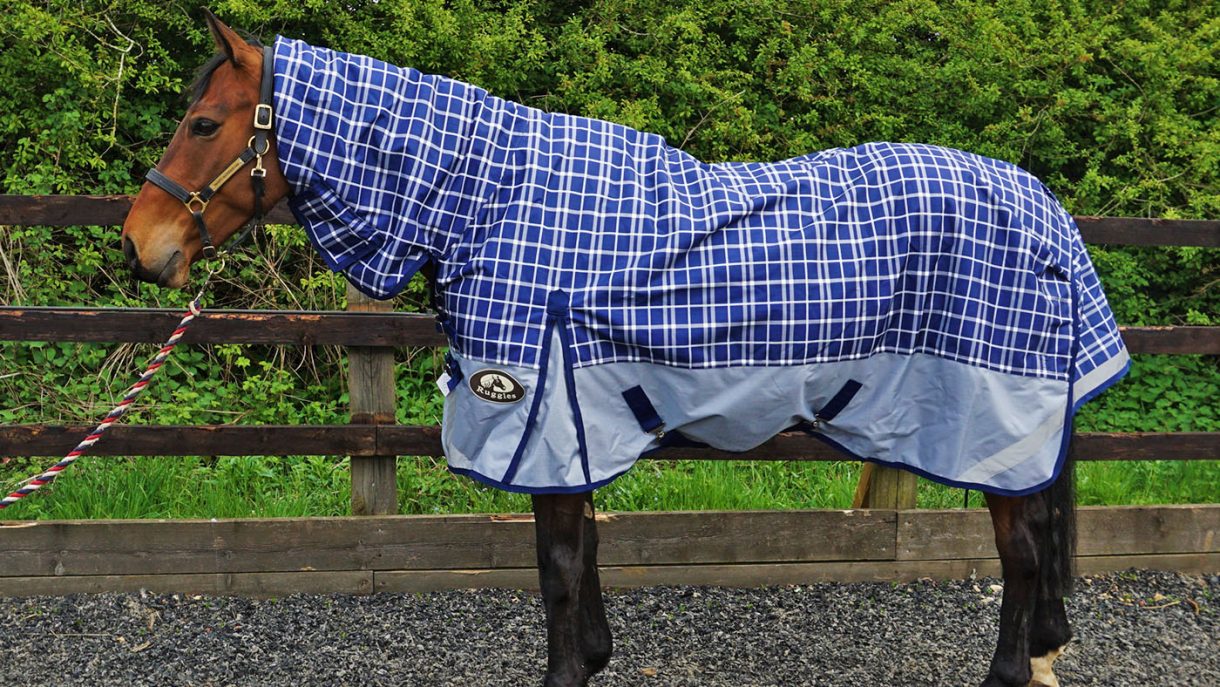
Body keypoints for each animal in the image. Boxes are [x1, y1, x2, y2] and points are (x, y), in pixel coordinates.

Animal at [121, 12, 1130, 687]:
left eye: (204, 123)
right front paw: (598, 657)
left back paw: (1011, 668)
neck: (489, 203)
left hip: (987, 417)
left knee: (1022, 551)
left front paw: (568, 672)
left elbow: (559, 567)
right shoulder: (576, 416)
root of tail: (1044, 210)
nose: (140, 246)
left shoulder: (540, 411)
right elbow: (583, 551)